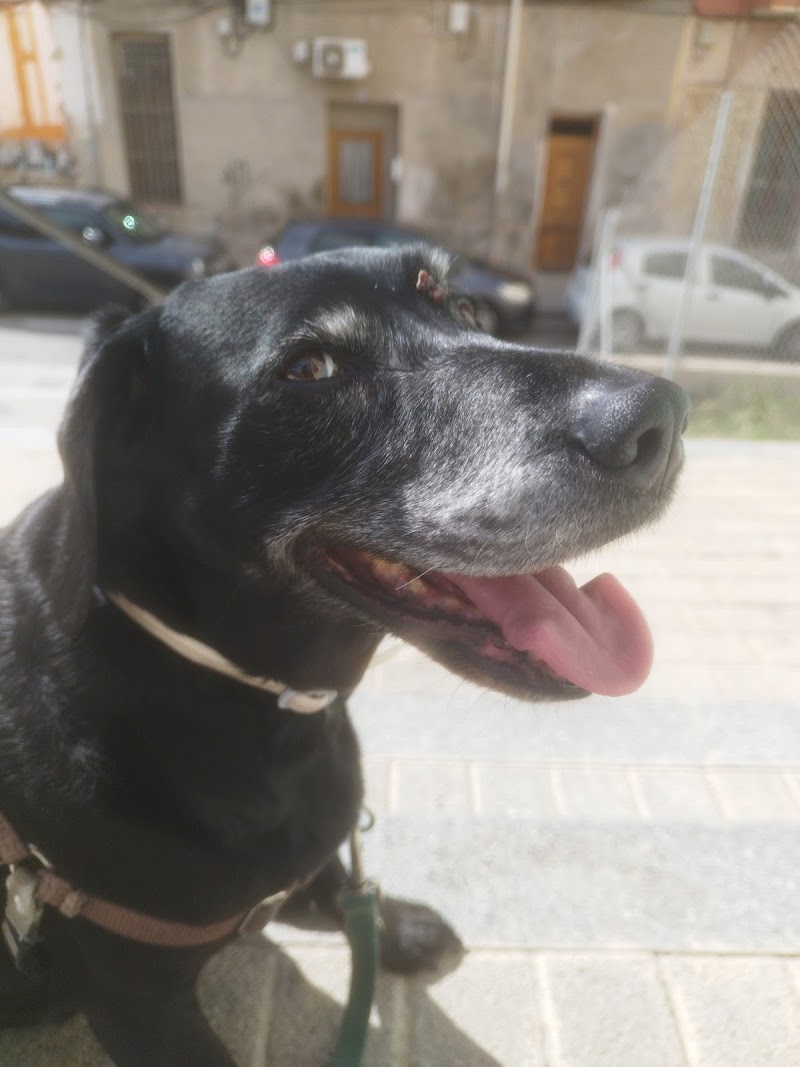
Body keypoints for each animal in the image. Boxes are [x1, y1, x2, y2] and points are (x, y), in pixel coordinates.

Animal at [0, 245, 688, 1065]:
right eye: (309, 369)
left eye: (459, 304)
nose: (662, 417)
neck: (268, 708)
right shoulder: (136, 998)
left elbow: (336, 881)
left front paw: (396, 928)